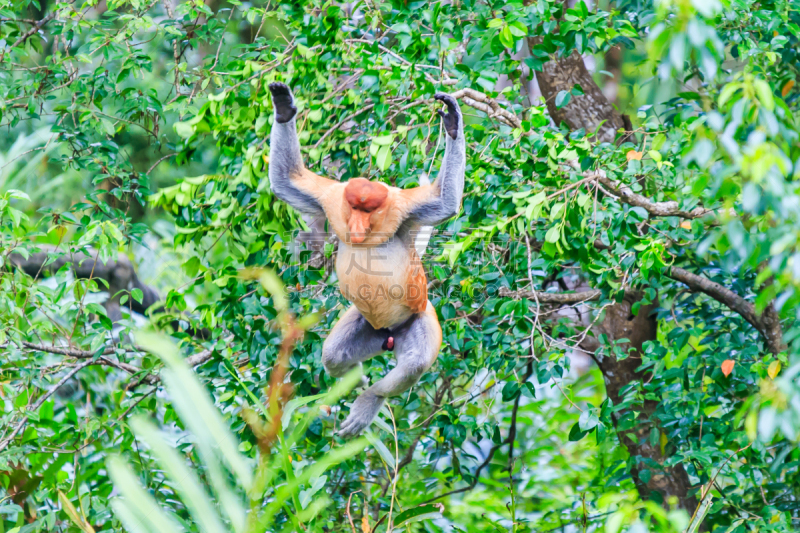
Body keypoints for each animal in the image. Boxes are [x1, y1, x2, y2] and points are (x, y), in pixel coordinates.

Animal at [268, 81, 466, 434]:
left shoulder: (404, 207)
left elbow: (445, 203)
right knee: (333, 355)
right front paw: (284, 106)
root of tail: (389, 334)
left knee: (413, 364)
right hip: (366, 325)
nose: (357, 227)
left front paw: (452, 122)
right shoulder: (332, 199)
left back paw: (370, 399)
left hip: (418, 316)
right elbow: (286, 181)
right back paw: (356, 380)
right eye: (355, 207)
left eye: (369, 209)